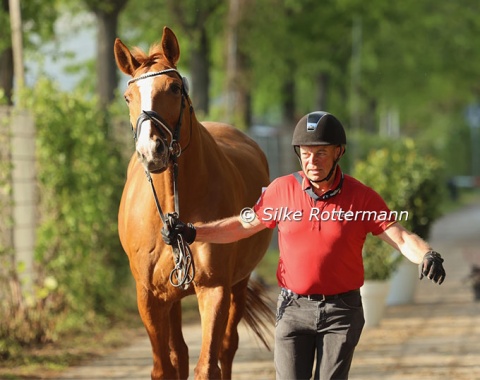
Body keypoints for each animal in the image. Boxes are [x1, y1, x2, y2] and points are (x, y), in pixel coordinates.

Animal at [114, 26, 274, 378]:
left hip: (238, 285)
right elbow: (165, 367)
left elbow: (208, 365)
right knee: (180, 354)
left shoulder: (214, 289)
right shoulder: (149, 296)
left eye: (174, 88)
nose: (151, 150)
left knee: (226, 349)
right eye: (128, 97)